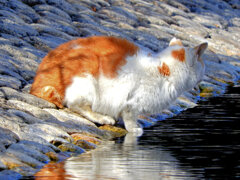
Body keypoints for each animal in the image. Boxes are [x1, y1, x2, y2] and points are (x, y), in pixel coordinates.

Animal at [30, 35, 208, 134]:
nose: (204, 75)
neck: (164, 69)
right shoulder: (131, 102)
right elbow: (130, 117)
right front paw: (134, 128)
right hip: (86, 77)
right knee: (76, 105)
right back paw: (103, 118)